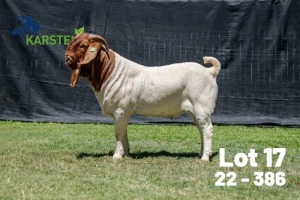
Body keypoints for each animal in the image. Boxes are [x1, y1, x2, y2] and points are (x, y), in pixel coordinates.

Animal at [65, 33, 220, 161]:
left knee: (207, 129)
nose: (67, 58)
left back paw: (205, 158)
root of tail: (210, 71)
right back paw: (201, 154)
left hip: (201, 107)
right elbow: (124, 132)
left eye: (83, 45)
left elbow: (118, 133)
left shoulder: (120, 110)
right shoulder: (124, 113)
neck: (110, 72)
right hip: (195, 111)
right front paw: (126, 153)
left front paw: (117, 156)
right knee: (201, 129)